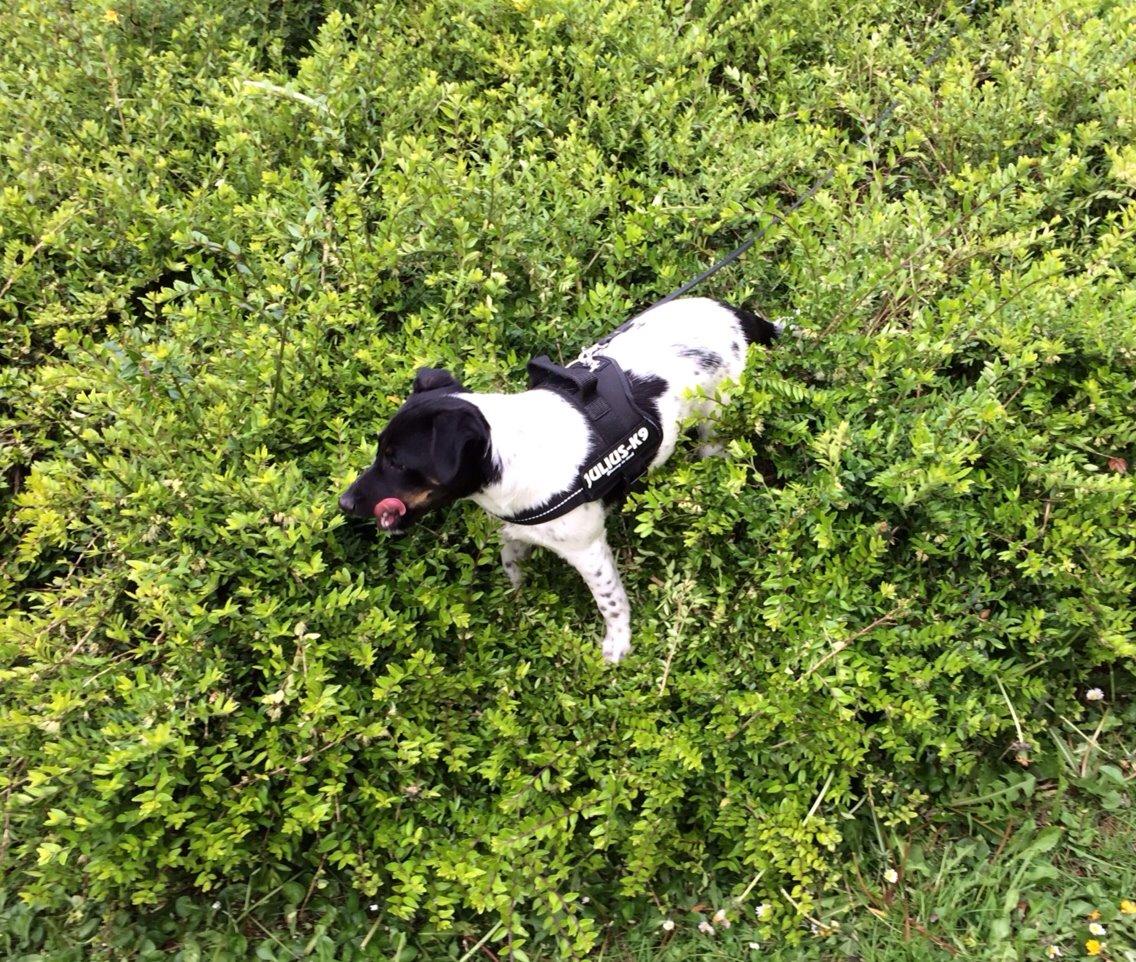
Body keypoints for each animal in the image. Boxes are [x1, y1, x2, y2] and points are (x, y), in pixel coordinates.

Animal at [338, 297, 781, 667]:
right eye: (380, 451)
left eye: (396, 461)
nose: (343, 503)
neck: (511, 456)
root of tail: (741, 316)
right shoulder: (518, 531)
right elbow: (512, 564)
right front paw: (518, 600)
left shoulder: (589, 550)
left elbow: (611, 602)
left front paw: (618, 645)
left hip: (716, 429)